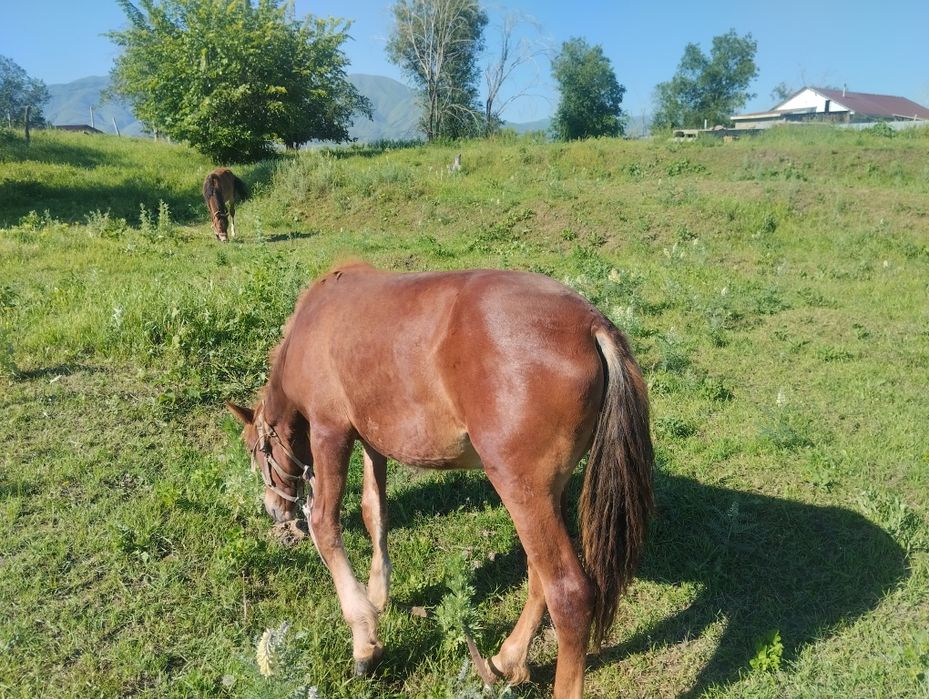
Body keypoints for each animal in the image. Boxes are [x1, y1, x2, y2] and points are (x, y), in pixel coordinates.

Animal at [227, 262, 654, 698]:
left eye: (255, 450)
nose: (274, 508)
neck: (313, 322)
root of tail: (590, 324)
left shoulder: (332, 433)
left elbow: (325, 527)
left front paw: (364, 638)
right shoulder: (373, 441)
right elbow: (374, 512)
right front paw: (378, 595)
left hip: (522, 491)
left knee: (569, 595)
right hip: (545, 495)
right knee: (539, 577)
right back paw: (508, 659)